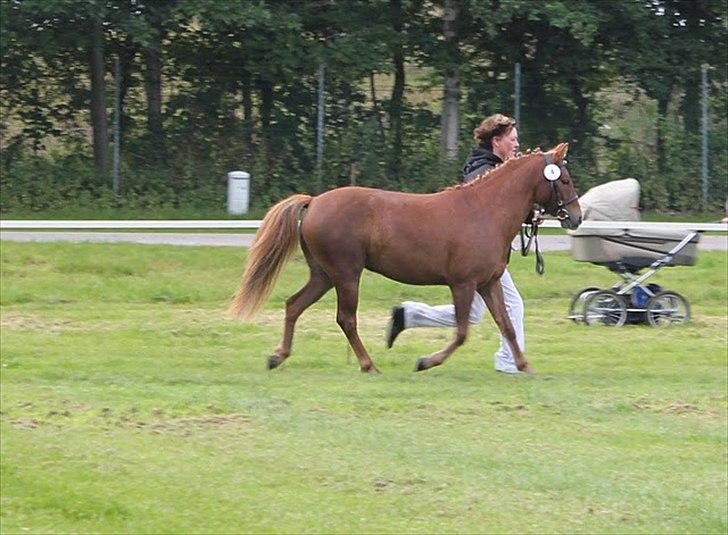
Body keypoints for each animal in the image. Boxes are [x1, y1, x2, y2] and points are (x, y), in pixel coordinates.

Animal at [230, 144, 584, 374]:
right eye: (565, 180)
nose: (576, 217)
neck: (484, 211)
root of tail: (314, 202)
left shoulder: (488, 284)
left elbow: (507, 325)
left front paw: (525, 366)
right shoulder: (463, 284)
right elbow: (461, 332)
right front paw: (425, 362)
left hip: (323, 275)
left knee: (294, 305)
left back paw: (278, 357)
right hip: (346, 274)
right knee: (346, 319)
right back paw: (368, 365)